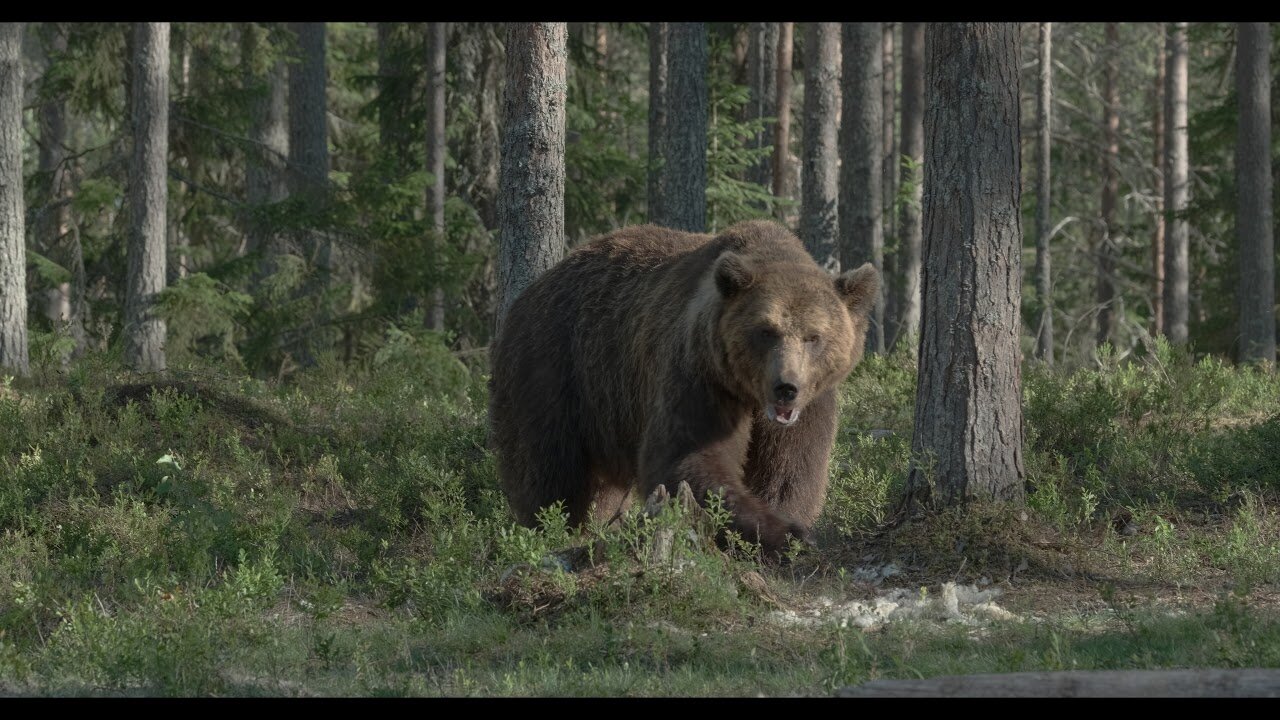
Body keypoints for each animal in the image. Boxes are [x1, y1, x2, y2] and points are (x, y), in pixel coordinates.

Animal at [488, 219, 880, 556]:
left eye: (814, 337)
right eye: (766, 331)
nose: (787, 387)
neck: (750, 394)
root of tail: (528, 293)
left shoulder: (810, 404)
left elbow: (791, 469)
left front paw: (792, 526)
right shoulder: (700, 375)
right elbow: (688, 458)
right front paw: (780, 532)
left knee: (600, 487)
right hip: (556, 369)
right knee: (549, 468)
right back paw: (556, 529)